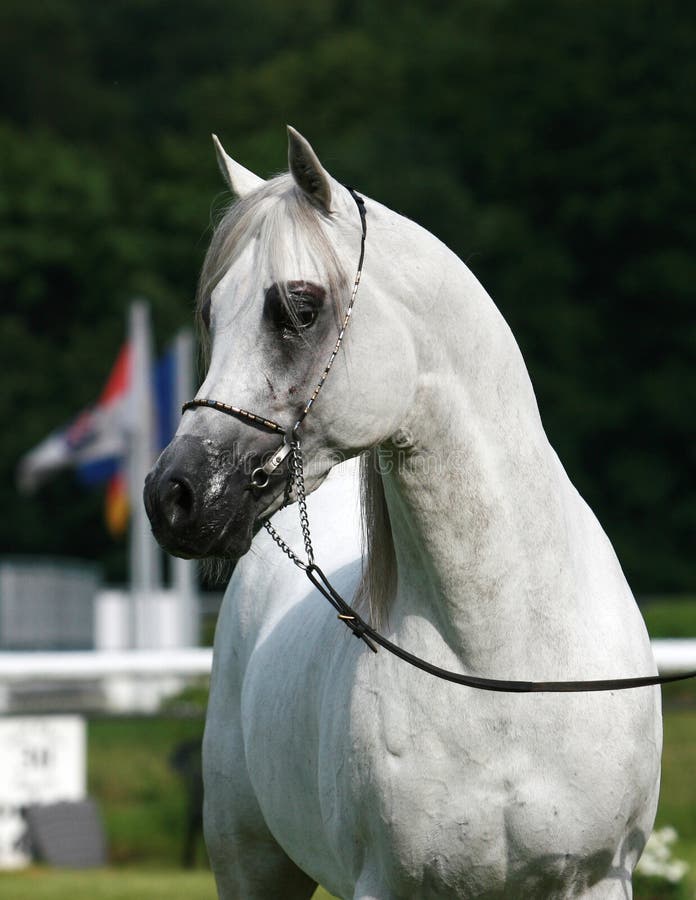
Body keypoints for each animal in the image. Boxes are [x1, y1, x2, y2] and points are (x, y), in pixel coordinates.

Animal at [144, 128, 660, 900]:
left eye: (299, 309)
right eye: (211, 315)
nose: (173, 496)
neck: (503, 664)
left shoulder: (598, 879)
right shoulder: (387, 883)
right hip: (251, 864)